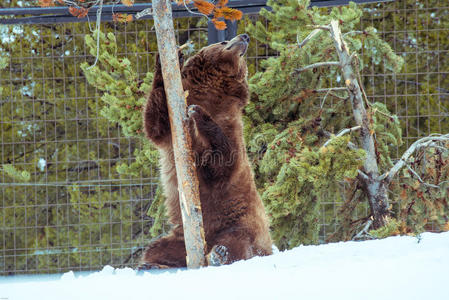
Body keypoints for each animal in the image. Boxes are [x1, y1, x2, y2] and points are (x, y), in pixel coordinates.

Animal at [142, 34, 272, 268]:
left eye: (243, 55)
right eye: (223, 42)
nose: (244, 37)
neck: (211, 94)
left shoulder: (230, 126)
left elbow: (223, 163)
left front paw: (199, 114)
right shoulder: (171, 130)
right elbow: (154, 121)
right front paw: (170, 59)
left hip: (242, 221)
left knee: (238, 241)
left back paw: (219, 254)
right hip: (181, 238)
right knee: (156, 248)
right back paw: (151, 263)